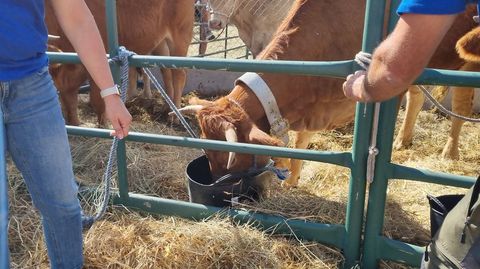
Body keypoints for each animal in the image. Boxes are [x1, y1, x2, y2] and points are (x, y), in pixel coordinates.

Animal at [45, 0, 195, 125]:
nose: (72, 122)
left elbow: (97, 100)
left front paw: (104, 125)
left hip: (180, 36)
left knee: (179, 75)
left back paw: (175, 116)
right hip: (161, 43)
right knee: (166, 71)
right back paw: (167, 107)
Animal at [177, 0, 480, 187]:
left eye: (227, 156)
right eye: (206, 147)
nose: (213, 182)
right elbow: (299, 139)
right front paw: (291, 177)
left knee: (461, 106)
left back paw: (449, 152)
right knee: (417, 96)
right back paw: (403, 141)